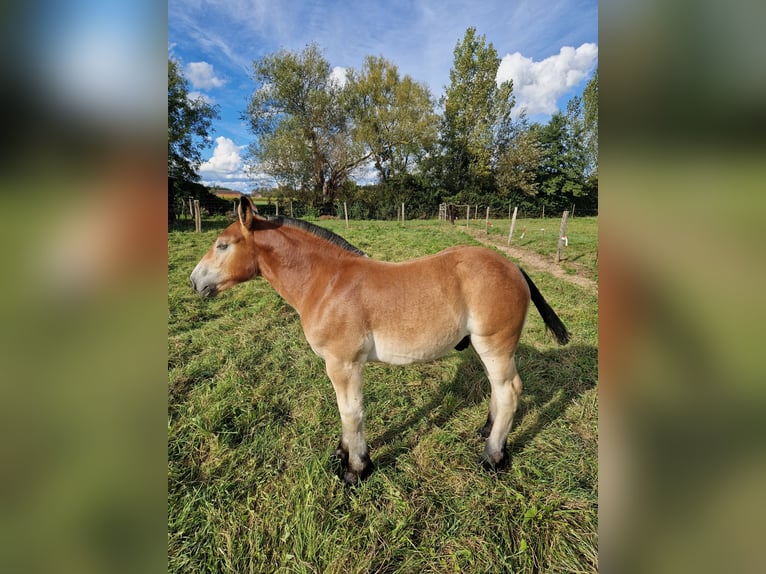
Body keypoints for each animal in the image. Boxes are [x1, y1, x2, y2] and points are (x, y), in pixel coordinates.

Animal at [189, 198, 568, 486]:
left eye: (222, 245)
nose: (194, 282)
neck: (327, 283)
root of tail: (514, 266)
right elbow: (345, 412)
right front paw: (342, 455)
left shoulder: (343, 364)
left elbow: (351, 412)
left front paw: (356, 469)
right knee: (499, 388)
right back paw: (487, 431)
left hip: (495, 346)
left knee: (509, 391)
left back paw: (493, 457)